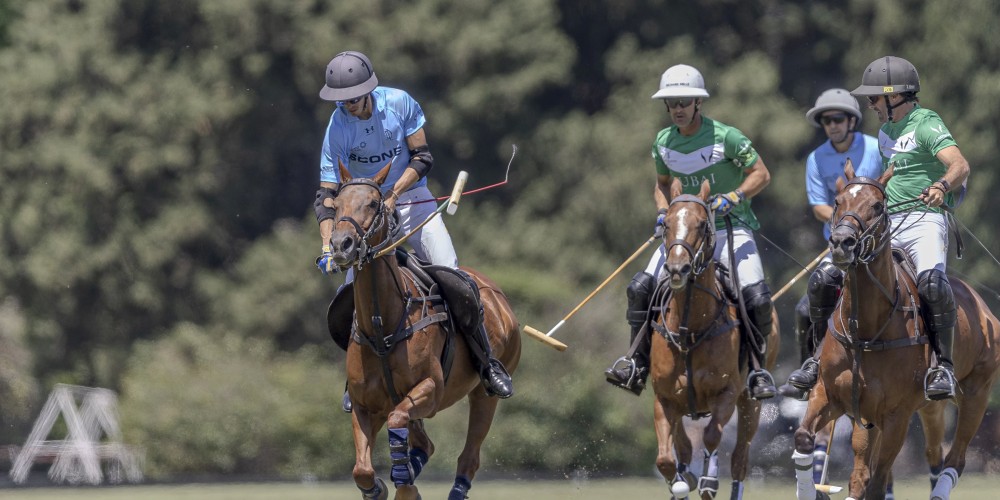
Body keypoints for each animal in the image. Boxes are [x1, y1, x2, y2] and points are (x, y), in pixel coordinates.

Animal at [330, 162, 524, 498]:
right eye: (337, 204)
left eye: (373, 203)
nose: (342, 245)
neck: (383, 326)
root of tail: (496, 292)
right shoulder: (365, 406)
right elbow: (362, 469)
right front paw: (380, 487)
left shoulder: (431, 391)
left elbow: (399, 422)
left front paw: (405, 487)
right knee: (425, 444)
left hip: (485, 393)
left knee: (468, 458)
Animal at [648, 181, 780, 500]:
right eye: (666, 224)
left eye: (701, 224)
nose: (677, 269)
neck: (689, 328)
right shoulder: (664, 398)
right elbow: (666, 459)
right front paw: (682, 482)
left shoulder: (726, 392)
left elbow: (711, 436)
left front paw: (708, 479)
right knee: (683, 446)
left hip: (750, 403)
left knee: (740, 458)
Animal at [788, 162, 1000, 498]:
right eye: (837, 201)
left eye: (878, 205)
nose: (842, 242)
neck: (864, 330)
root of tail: (983, 307)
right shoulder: (829, 396)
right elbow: (804, 439)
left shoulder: (896, 415)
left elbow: (878, 482)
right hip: (880, 416)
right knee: (872, 469)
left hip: (976, 393)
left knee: (954, 459)